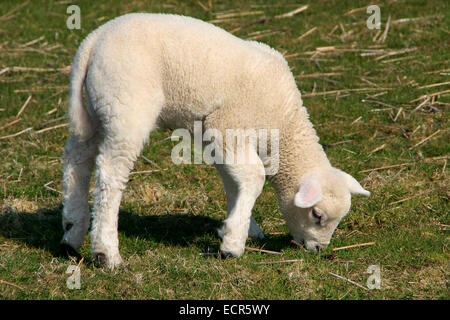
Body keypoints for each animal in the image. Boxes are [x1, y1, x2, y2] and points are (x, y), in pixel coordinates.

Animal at [59, 13, 370, 268]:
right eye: (317, 215)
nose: (319, 249)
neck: (283, 122)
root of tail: (94, 40)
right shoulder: (229, 126)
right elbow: (254, 177)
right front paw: (232, 244)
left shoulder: (220, 139)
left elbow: (234, 182)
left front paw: (243, 228)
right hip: (127, 105)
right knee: (110, 173)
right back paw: (106, 252)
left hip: (102, 107)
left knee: (78, 154)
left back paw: (72, 229)